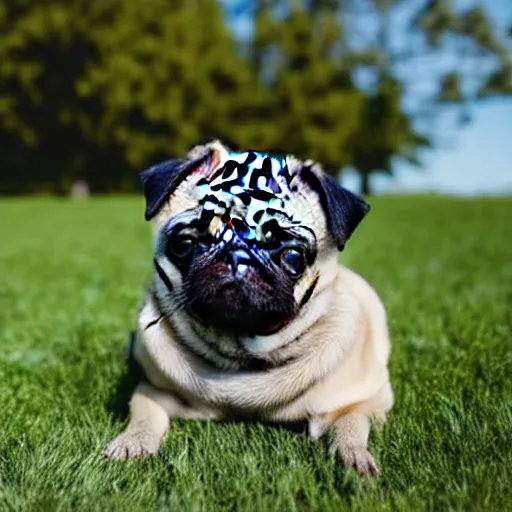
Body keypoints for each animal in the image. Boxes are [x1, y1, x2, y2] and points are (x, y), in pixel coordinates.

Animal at [103, 140, 392, 476]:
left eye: (292, 256)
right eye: (185, 245)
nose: (237, 257)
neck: (240, 357)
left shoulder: (366, 400)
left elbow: (351, 422)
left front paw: (354, 458)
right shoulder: (151, 391)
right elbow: (145, 416)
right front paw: (131, 443)